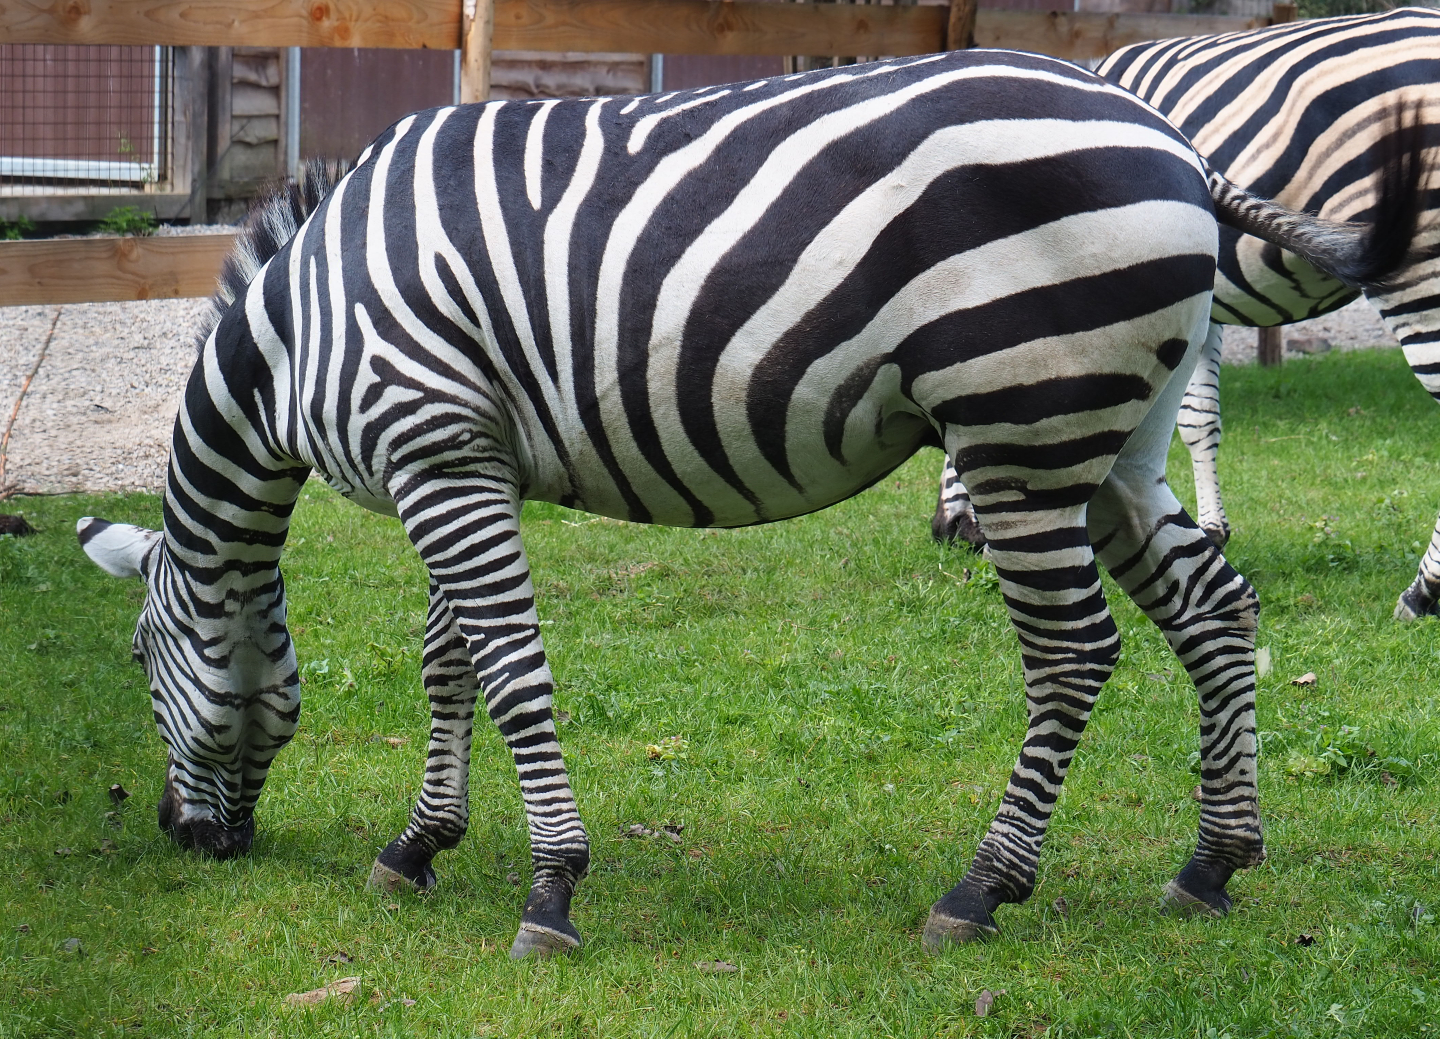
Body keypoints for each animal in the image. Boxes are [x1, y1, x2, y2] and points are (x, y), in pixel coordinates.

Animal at [75, 50, 1411, 958]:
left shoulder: (434, 448)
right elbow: (451, 660)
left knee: (1075, 654)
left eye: (140, 660)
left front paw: (552, 889)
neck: (291, 338)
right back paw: (1214, 861)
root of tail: (1173, 141)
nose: (183, 837)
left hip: (1020, 427)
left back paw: (983, 887)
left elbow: (509, 670)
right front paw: (419, 844)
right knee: (1218, 612)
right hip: (1112, 432)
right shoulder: (469, 456)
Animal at [933, 9, 1440, 623]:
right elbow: (1200, 420)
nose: (948, 534)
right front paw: (1212, 531)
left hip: (1419, 270)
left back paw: (1422, 592)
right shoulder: (1197, 310)